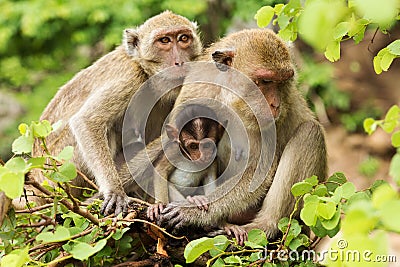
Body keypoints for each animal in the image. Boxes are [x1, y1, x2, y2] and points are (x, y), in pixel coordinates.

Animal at [0, 11, 202, 222]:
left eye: (183, 39)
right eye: (164, 41)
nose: (179, 62)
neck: (145, 71)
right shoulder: (129, 78)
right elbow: (86, 121)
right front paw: (115, 191)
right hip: (61, 171)